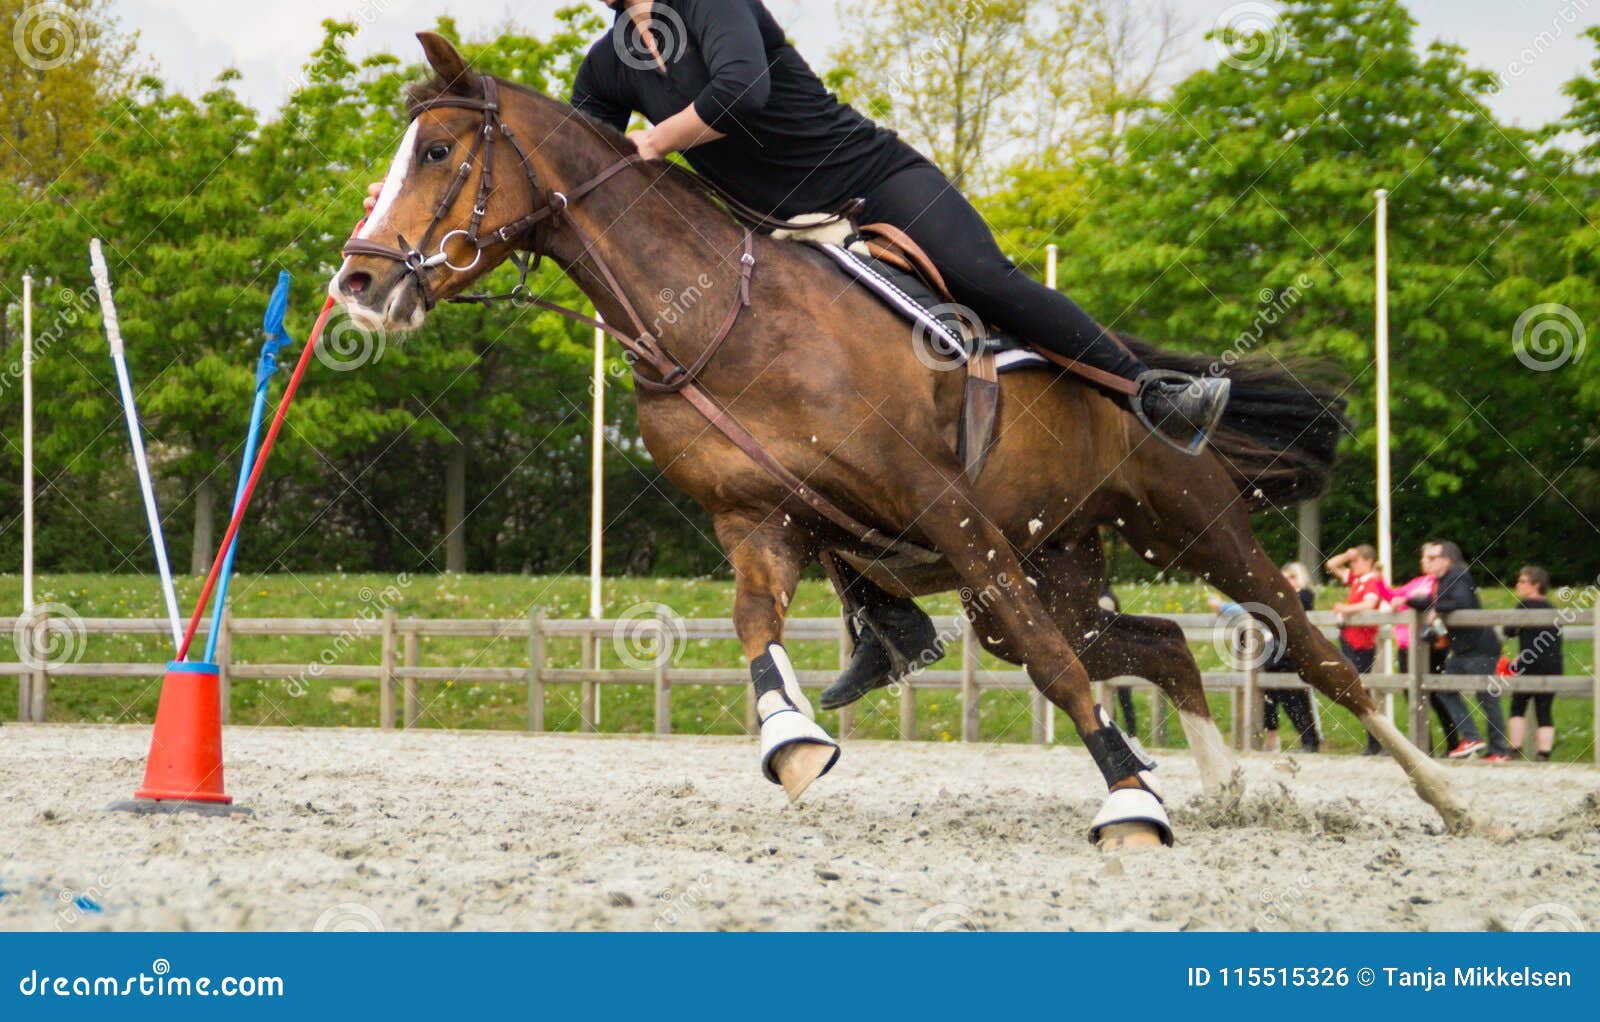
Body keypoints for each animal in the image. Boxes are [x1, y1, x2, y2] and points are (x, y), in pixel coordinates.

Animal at [331, 33, 1481, 846]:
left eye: (438, 150)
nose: (360, 280)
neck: (716, 322)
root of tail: (1136, 379)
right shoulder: (758, 522)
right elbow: (755, 628)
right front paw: (794, 741)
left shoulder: (943, 507)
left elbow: (1058, 671)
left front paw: (1126, 803)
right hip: (1054, 556)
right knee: (1155, 643)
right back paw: (1226, 783)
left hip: (1192, 524)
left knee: (1313, 653)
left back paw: (1447, 796)